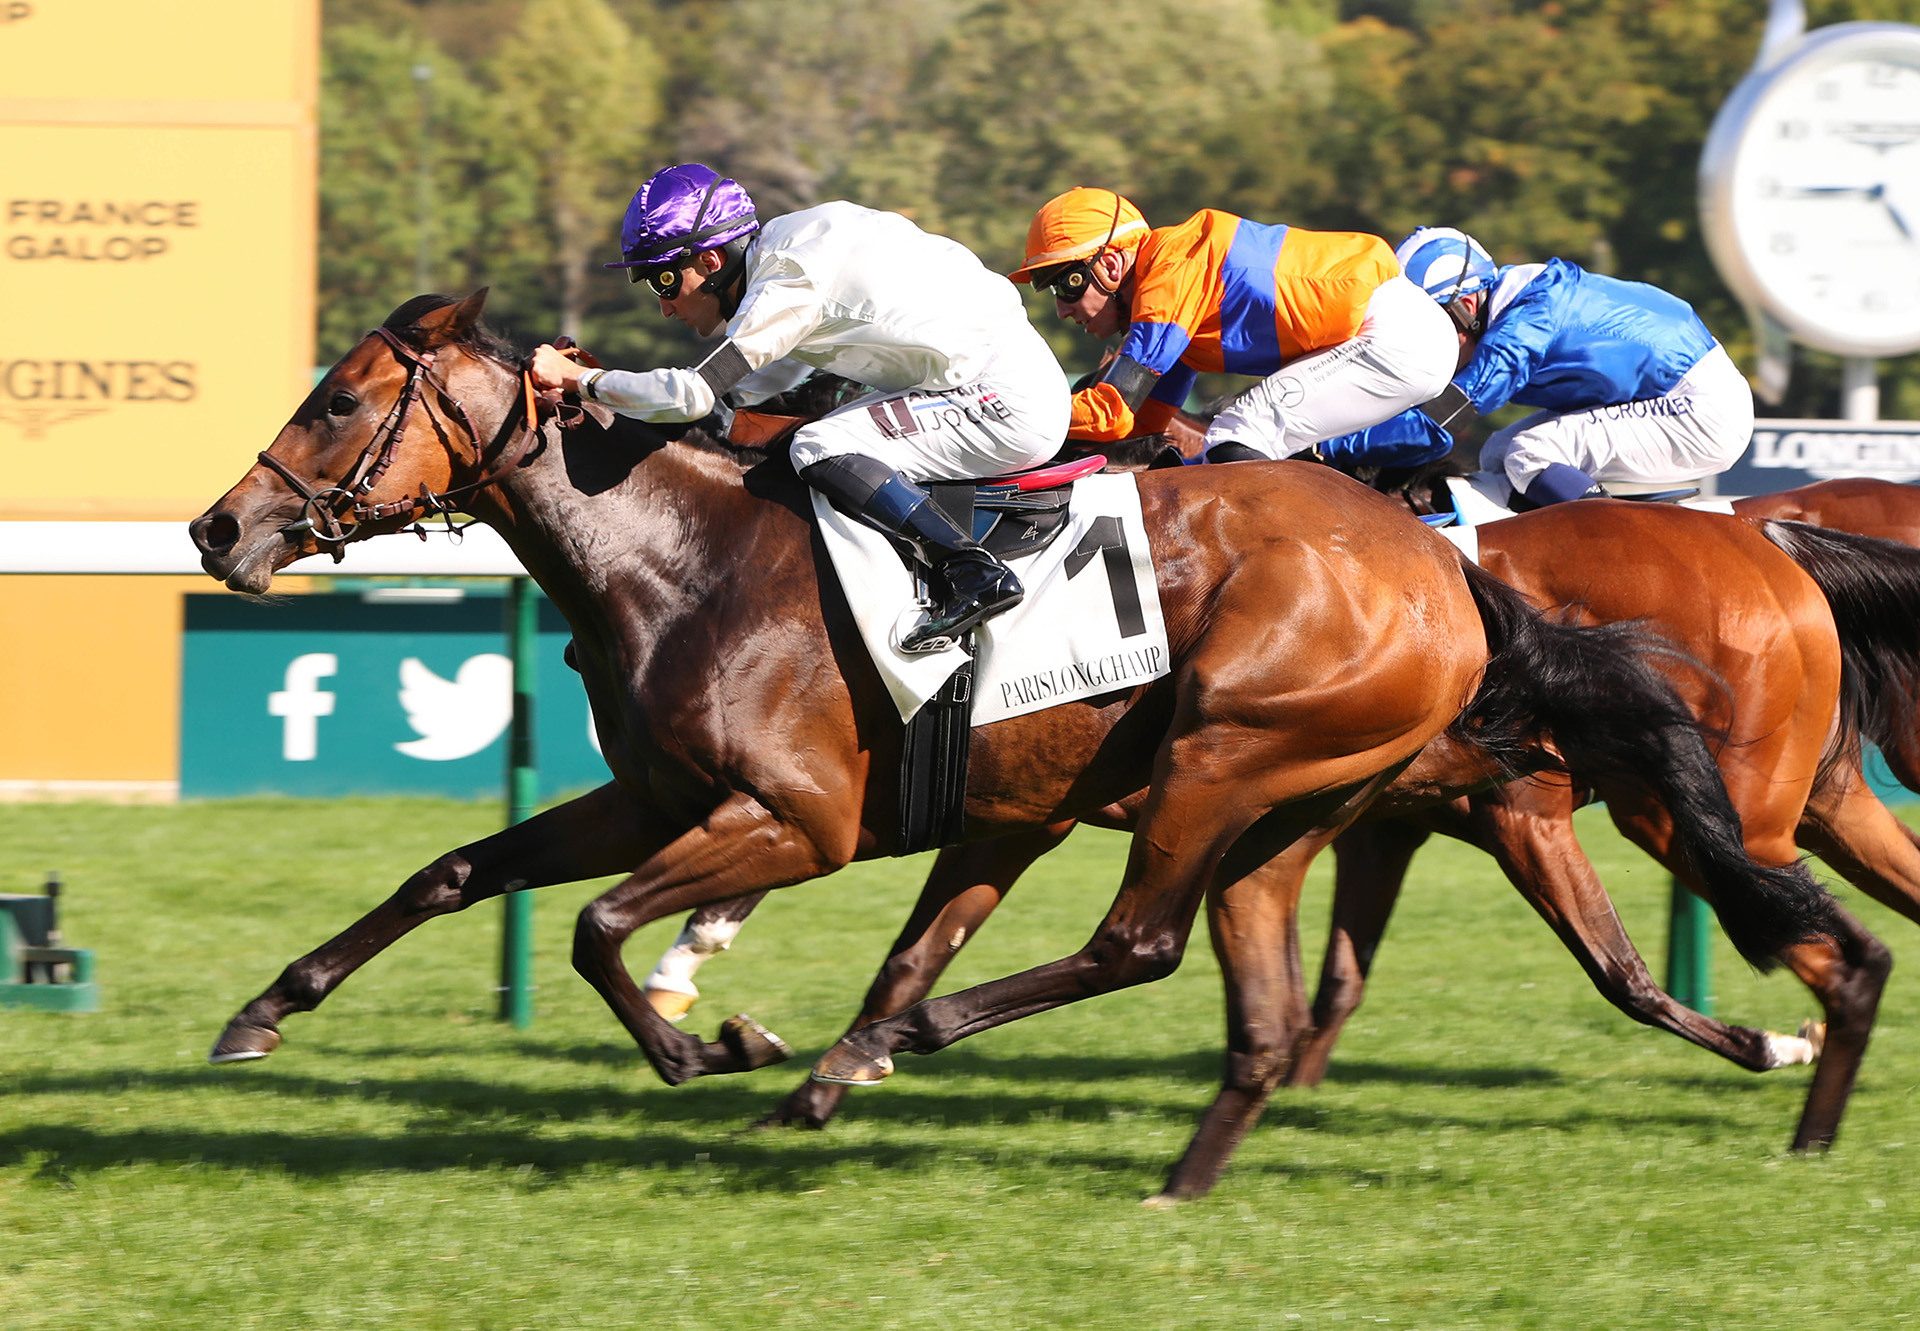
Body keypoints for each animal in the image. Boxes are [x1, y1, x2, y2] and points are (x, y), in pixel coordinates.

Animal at [187, 293, 1835, 1206]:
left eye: (338, 398)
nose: (217, 528)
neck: (688, 555)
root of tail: (1442, 566)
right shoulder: (656, 796)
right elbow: (457, 868)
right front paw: (262, 1011)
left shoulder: (793, 819)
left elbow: (597, 927)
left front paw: (708, 1041)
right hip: (1306, 804)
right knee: (1252, 984)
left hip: (1231, 755)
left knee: (1138, 938)